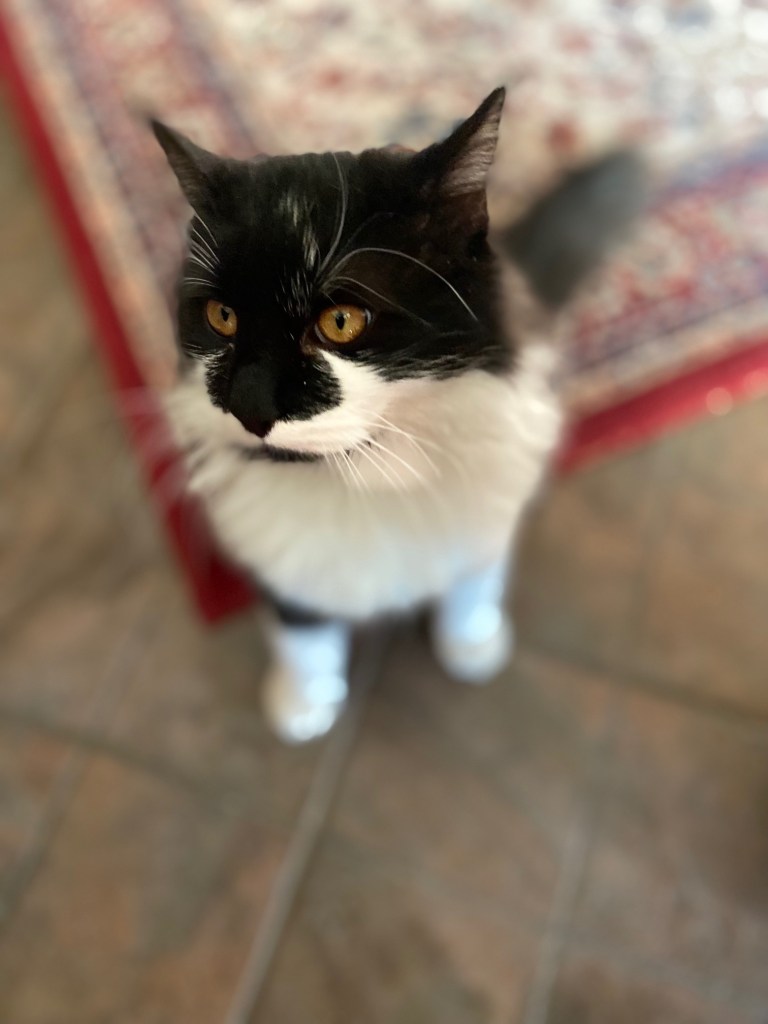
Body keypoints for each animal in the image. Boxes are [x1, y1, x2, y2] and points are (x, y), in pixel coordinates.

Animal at [152, 87, 644, 742]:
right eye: (221, 316)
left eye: (341, 322)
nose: (248, 406)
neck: (366, 477)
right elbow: (300, 626)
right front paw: (304, 702)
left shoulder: (491, 497)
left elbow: (474, 573)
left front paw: (472, 644)